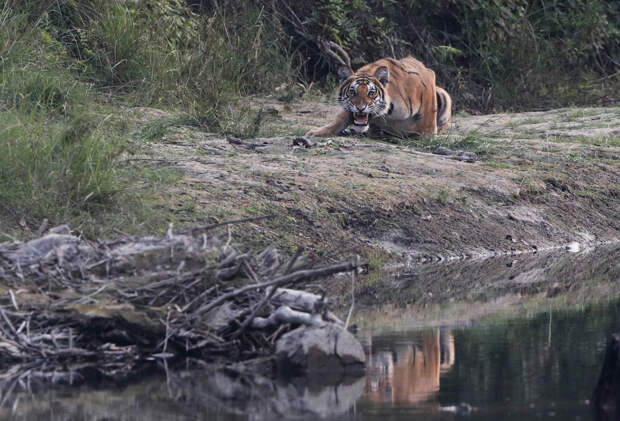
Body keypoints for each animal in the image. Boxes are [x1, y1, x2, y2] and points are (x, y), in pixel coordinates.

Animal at [308, 47, 452, 137]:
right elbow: (340, 119)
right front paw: (316, 132)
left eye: (371, 93)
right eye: (352, 92)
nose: (360, 108)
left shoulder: (428, 130)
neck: (389, 114)